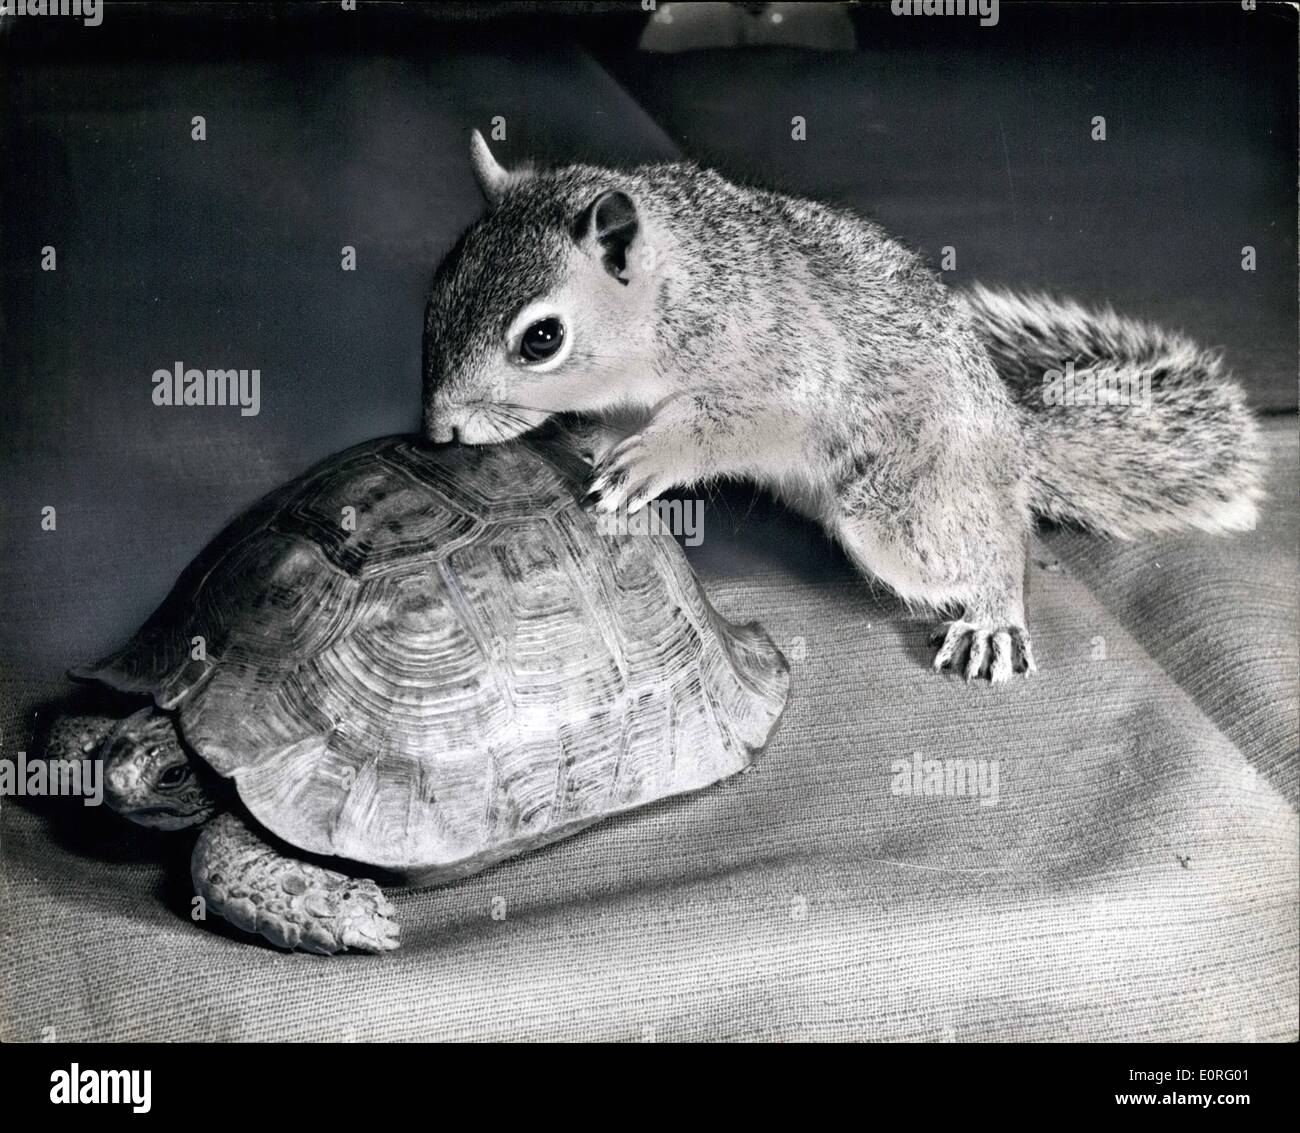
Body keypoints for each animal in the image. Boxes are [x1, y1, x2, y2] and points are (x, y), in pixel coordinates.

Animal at [421, 131, 1264, 682]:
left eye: (542, 339)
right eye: (440, 279)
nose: (439, 427)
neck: (680, 293)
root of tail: (1013, 441)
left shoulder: (781, 368)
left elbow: (726, 423)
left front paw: (649, 459)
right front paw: (592, 439)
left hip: (903, 507)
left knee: (992, 537)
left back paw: (994, 612)